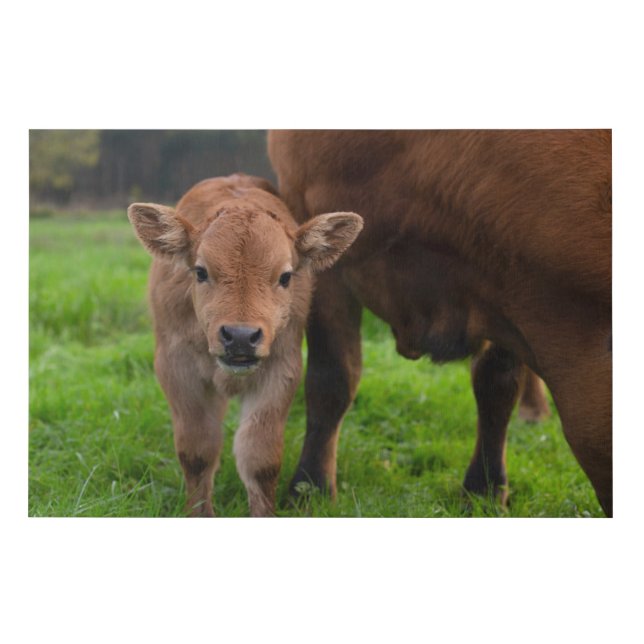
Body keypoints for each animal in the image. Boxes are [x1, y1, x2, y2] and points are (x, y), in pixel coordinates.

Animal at [127, 173, 363, 516]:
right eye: (201, 272)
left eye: (285, 276)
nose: (239, 336)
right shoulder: (176, 369)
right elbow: (197, 452)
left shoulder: (281, 370)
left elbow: (260, 459)